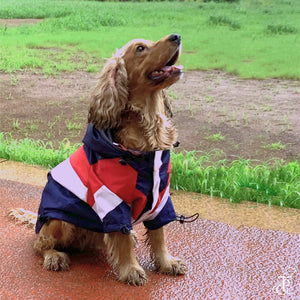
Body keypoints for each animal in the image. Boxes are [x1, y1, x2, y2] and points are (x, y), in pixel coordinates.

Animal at [32, 33, 185, 286]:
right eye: (140, 48)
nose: (177, 36)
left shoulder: (161, 197)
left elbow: (159, 234)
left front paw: (167, 263)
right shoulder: (111, 199)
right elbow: (122, 238)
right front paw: (131, 270)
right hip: (60, 220)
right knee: (40, 244)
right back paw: (54, 257)